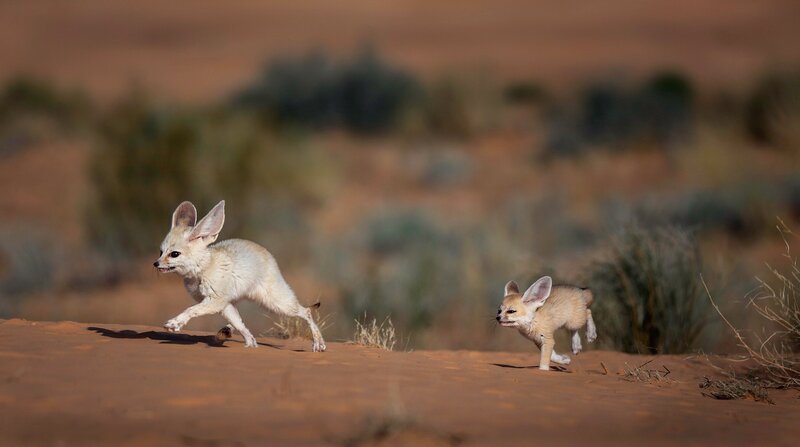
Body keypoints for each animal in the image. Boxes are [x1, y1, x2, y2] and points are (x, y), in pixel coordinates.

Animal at [153, 200, 326, 352]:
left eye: (174, 254)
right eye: (161, 252)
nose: (156, 264)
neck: (204, 268)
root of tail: (266, 252)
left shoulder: (216, 301)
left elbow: (191, 309)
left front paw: (175, 323)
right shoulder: (223, 304)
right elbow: (241, 326)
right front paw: (251, 344)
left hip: (277, 303)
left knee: (306, 312)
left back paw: (319, 343)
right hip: (239, 302)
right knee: (240, 324)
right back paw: (241, 340)